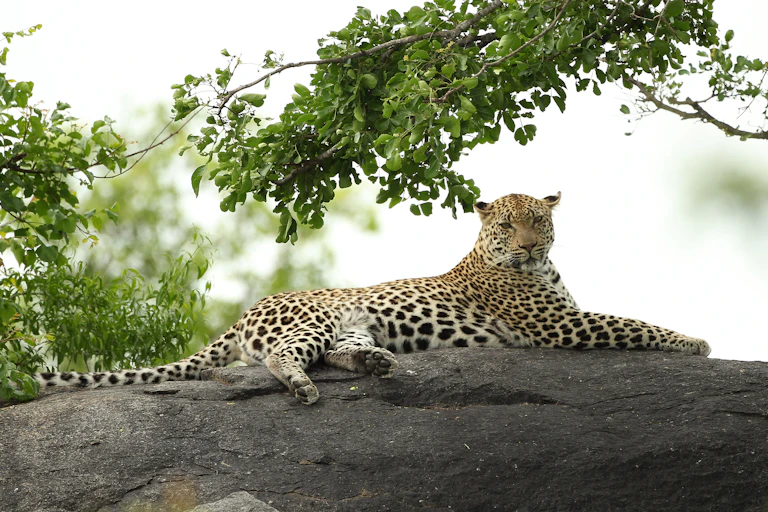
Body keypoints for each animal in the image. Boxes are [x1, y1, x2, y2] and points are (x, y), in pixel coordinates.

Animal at [35, 191, 710, 404]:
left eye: (538, 224)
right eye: (506, 226)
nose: (525, 246)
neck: (540, 268)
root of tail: (247, 310)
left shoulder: (565, 317)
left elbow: (626, 318)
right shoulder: (559, 327)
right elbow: (631, 322)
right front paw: (694, 341)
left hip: (354, 324)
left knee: (339, 353)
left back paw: (378, 363)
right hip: (309, 321)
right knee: (282, 358)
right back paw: (303, 387)